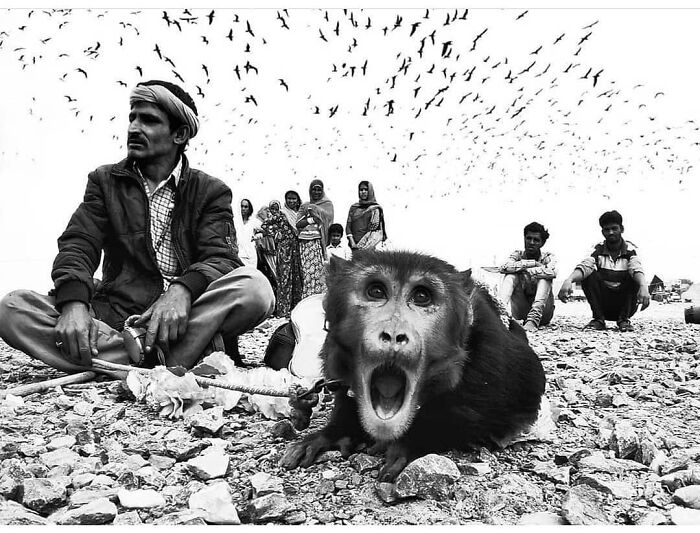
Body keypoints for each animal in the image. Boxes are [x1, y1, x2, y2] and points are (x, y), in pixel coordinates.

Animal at [280, 250, 546, 481]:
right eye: (376, 291)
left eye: (421, 297)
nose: (394, 334)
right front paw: (335, 432)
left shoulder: (493, 348)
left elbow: (513, 394)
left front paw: (412, 442)